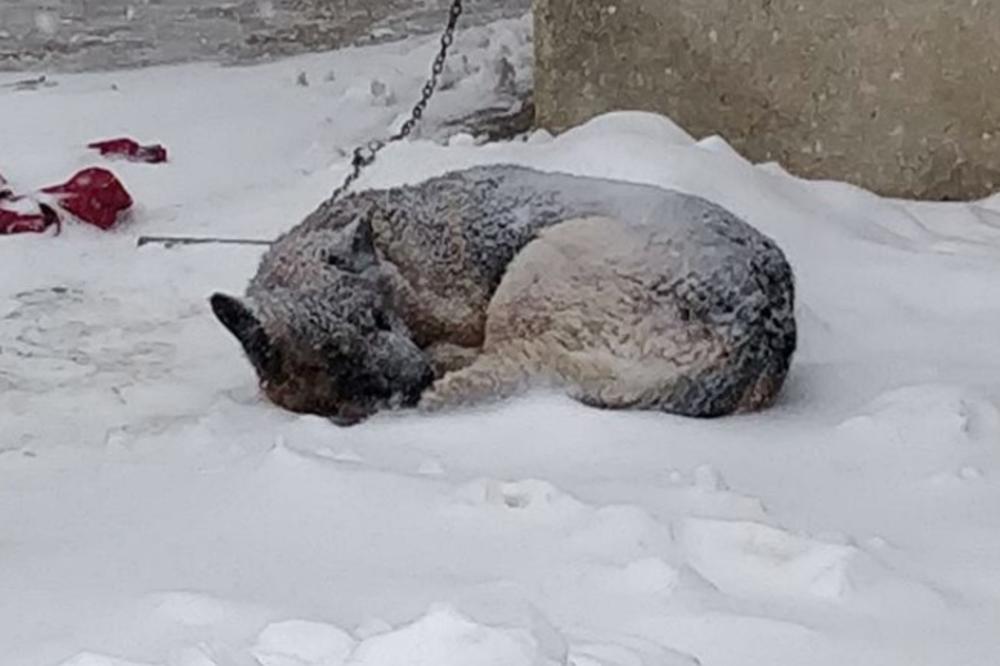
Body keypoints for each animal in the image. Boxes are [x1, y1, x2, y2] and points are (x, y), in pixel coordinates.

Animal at [211, 166, 796, 426]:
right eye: (336, 354)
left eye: (379, 320)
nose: (415, 379)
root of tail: (760, 332)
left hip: (540, 263)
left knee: (511, 359)